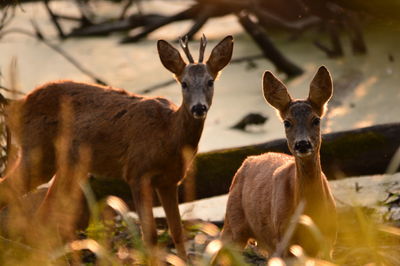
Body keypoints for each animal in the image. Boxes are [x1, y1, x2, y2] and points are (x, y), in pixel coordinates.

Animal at [0, 34, 234, 258]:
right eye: (184, 83)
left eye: (210, 81)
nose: (198, 108)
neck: (168, 136)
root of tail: (16, 106)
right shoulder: (137, 172)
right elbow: (149, 236)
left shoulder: (170, 180)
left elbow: (177, 232)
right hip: (38, 152)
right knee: (10, 188)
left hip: (67, 164)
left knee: (44, 213)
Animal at [222, 66, 338, 258]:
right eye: (287, 122)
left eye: (316, 120)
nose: (302, 143)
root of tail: (247, 161)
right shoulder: (283, 239)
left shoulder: (328, 240)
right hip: (232, 223)